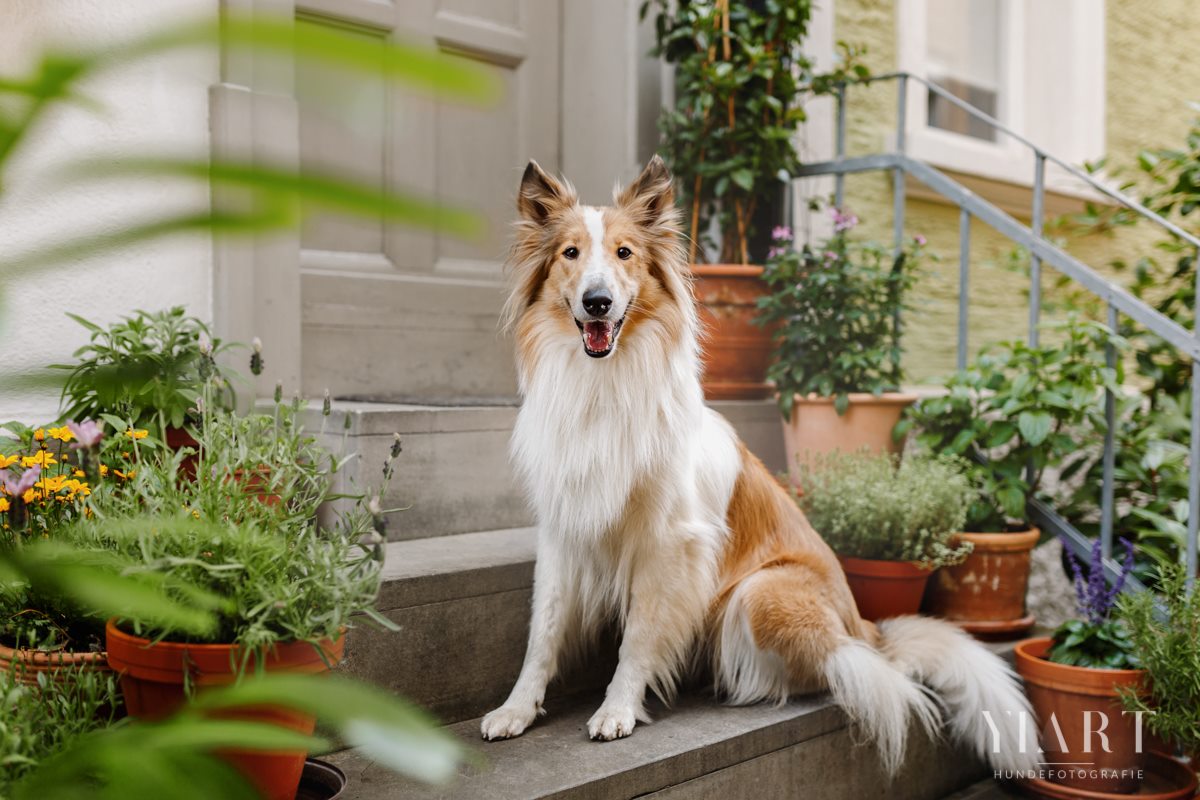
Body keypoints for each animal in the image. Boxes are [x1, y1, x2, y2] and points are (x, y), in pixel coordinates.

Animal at [482, 155, 1036, 777]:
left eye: (624, 253)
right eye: (570, 253)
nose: (597, 302)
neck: (604, 387)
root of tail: (864, 625)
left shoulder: (669, 545)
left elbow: (639, 637)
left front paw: (617, 709)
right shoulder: (562, 533)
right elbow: (544, 633)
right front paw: (516, 710)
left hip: (761, 591)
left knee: (851, 669)